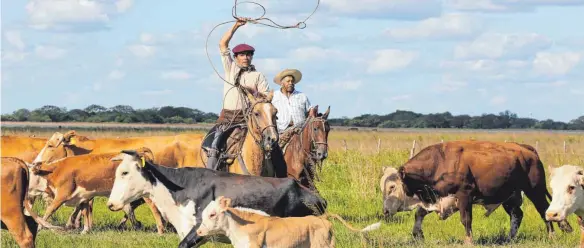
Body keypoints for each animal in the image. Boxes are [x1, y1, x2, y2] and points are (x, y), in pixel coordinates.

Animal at [31, 151, 165, 234]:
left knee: (154, 208)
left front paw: (39, 228)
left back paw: (160, 230)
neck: (56, 171)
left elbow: (48, 211)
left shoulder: (61, 196)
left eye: (30, 173)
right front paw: (85, 231)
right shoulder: (83, 197)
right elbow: (85, 212)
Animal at [394, 140, 572, 245]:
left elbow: (466, 220)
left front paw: (469, 241)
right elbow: (419, 213)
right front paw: (417, 234)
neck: (440, 161)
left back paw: (551, 236)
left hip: (534, 191)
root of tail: (527, 150)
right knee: (517, 215)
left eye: (395, 185)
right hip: (510, 196)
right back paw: (509, 238)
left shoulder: (464, 196)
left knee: (543, 210)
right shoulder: (436, 198)